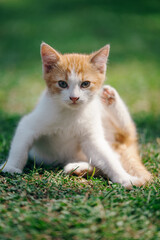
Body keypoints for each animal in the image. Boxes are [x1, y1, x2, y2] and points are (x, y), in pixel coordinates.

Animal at [0, 43, 151, 189]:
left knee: (123, 136)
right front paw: (11, 167)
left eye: (85, 84)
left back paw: (111, 98)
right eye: (62, 83)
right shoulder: (30, 123)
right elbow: (19, 147)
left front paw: (125, 178)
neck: (70, 113)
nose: (74, 97)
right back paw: (79, 168)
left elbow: (107, 159)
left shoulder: (92, 138)